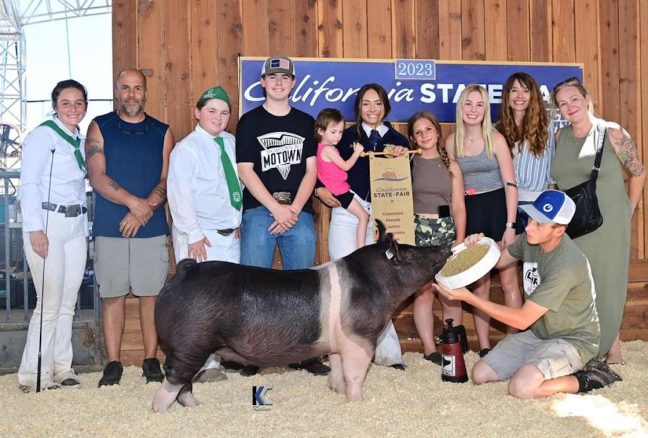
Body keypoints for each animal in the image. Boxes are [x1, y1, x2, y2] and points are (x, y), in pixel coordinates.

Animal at [152, 224, 450, 412]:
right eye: (410, 253)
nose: (445, 247)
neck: (376, 283)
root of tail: (184, 272)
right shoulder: (360, 338)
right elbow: (355, 373)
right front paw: (357, 402)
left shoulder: (338, 343)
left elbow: (337, 367)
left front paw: (336, 390)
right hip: (192, 341)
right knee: (175, 376)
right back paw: (159, 409)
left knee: (184, 380)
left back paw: (194, 406)